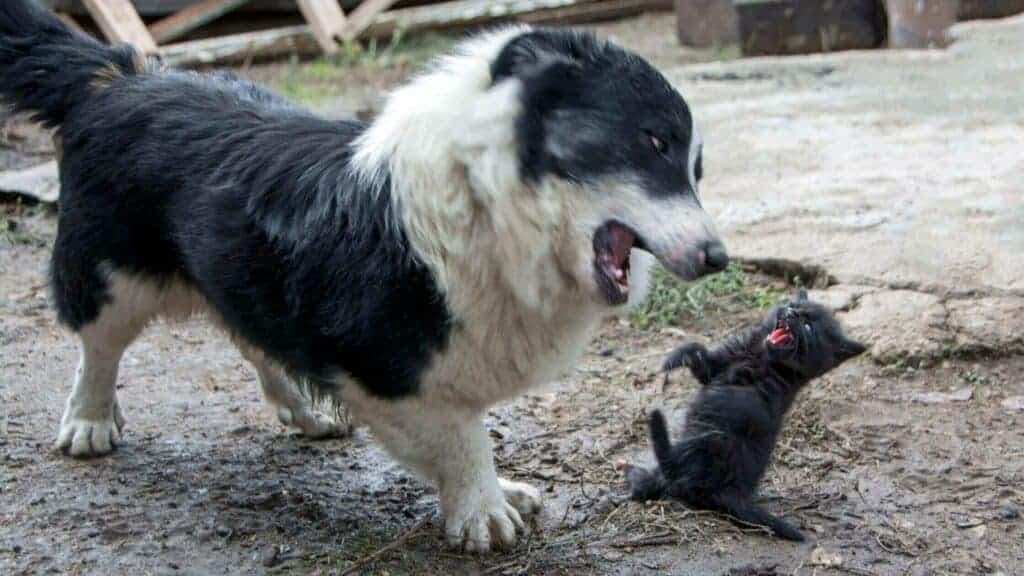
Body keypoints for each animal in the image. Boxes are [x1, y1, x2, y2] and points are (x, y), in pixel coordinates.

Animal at [4, 0, 733, 549]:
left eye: (698, 167)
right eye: (653, 142)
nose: (717, 258)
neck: (489, 199)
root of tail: (121, 72)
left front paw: (490, 491)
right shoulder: (386, 365)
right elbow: (462, 431)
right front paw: (483, 505)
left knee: (252, 336)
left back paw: (301, 408)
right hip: (110, 275)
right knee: (99, 345)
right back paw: (89, 420)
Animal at [622, 289, 864, 541]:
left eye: (808, 328)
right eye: (793, 305)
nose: (790, 313)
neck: (762, 356)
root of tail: (730, 492)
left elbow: (744, 397)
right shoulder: (716, 367)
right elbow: (698, 351)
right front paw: (678, 357)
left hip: (713, 441)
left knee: (671, 476)